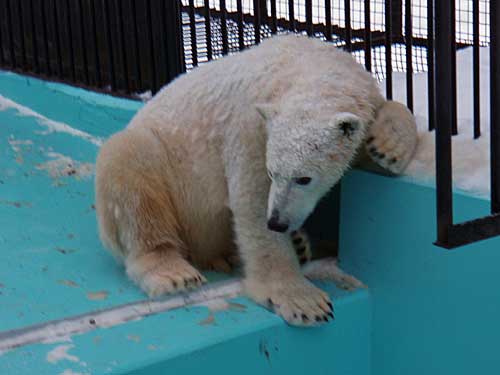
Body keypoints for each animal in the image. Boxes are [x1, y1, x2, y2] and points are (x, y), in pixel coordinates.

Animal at [95, 36, 416, 328]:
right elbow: (253, 202)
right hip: (164, 166)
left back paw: (298, 244)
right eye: (273, 172)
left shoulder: (360, 96)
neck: (307, 65)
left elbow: (385, 119)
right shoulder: (251, 129)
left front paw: (388, 148)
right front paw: (305, 303)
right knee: (131, 170)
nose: (278, 222)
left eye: (304, 178)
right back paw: (174, 273)